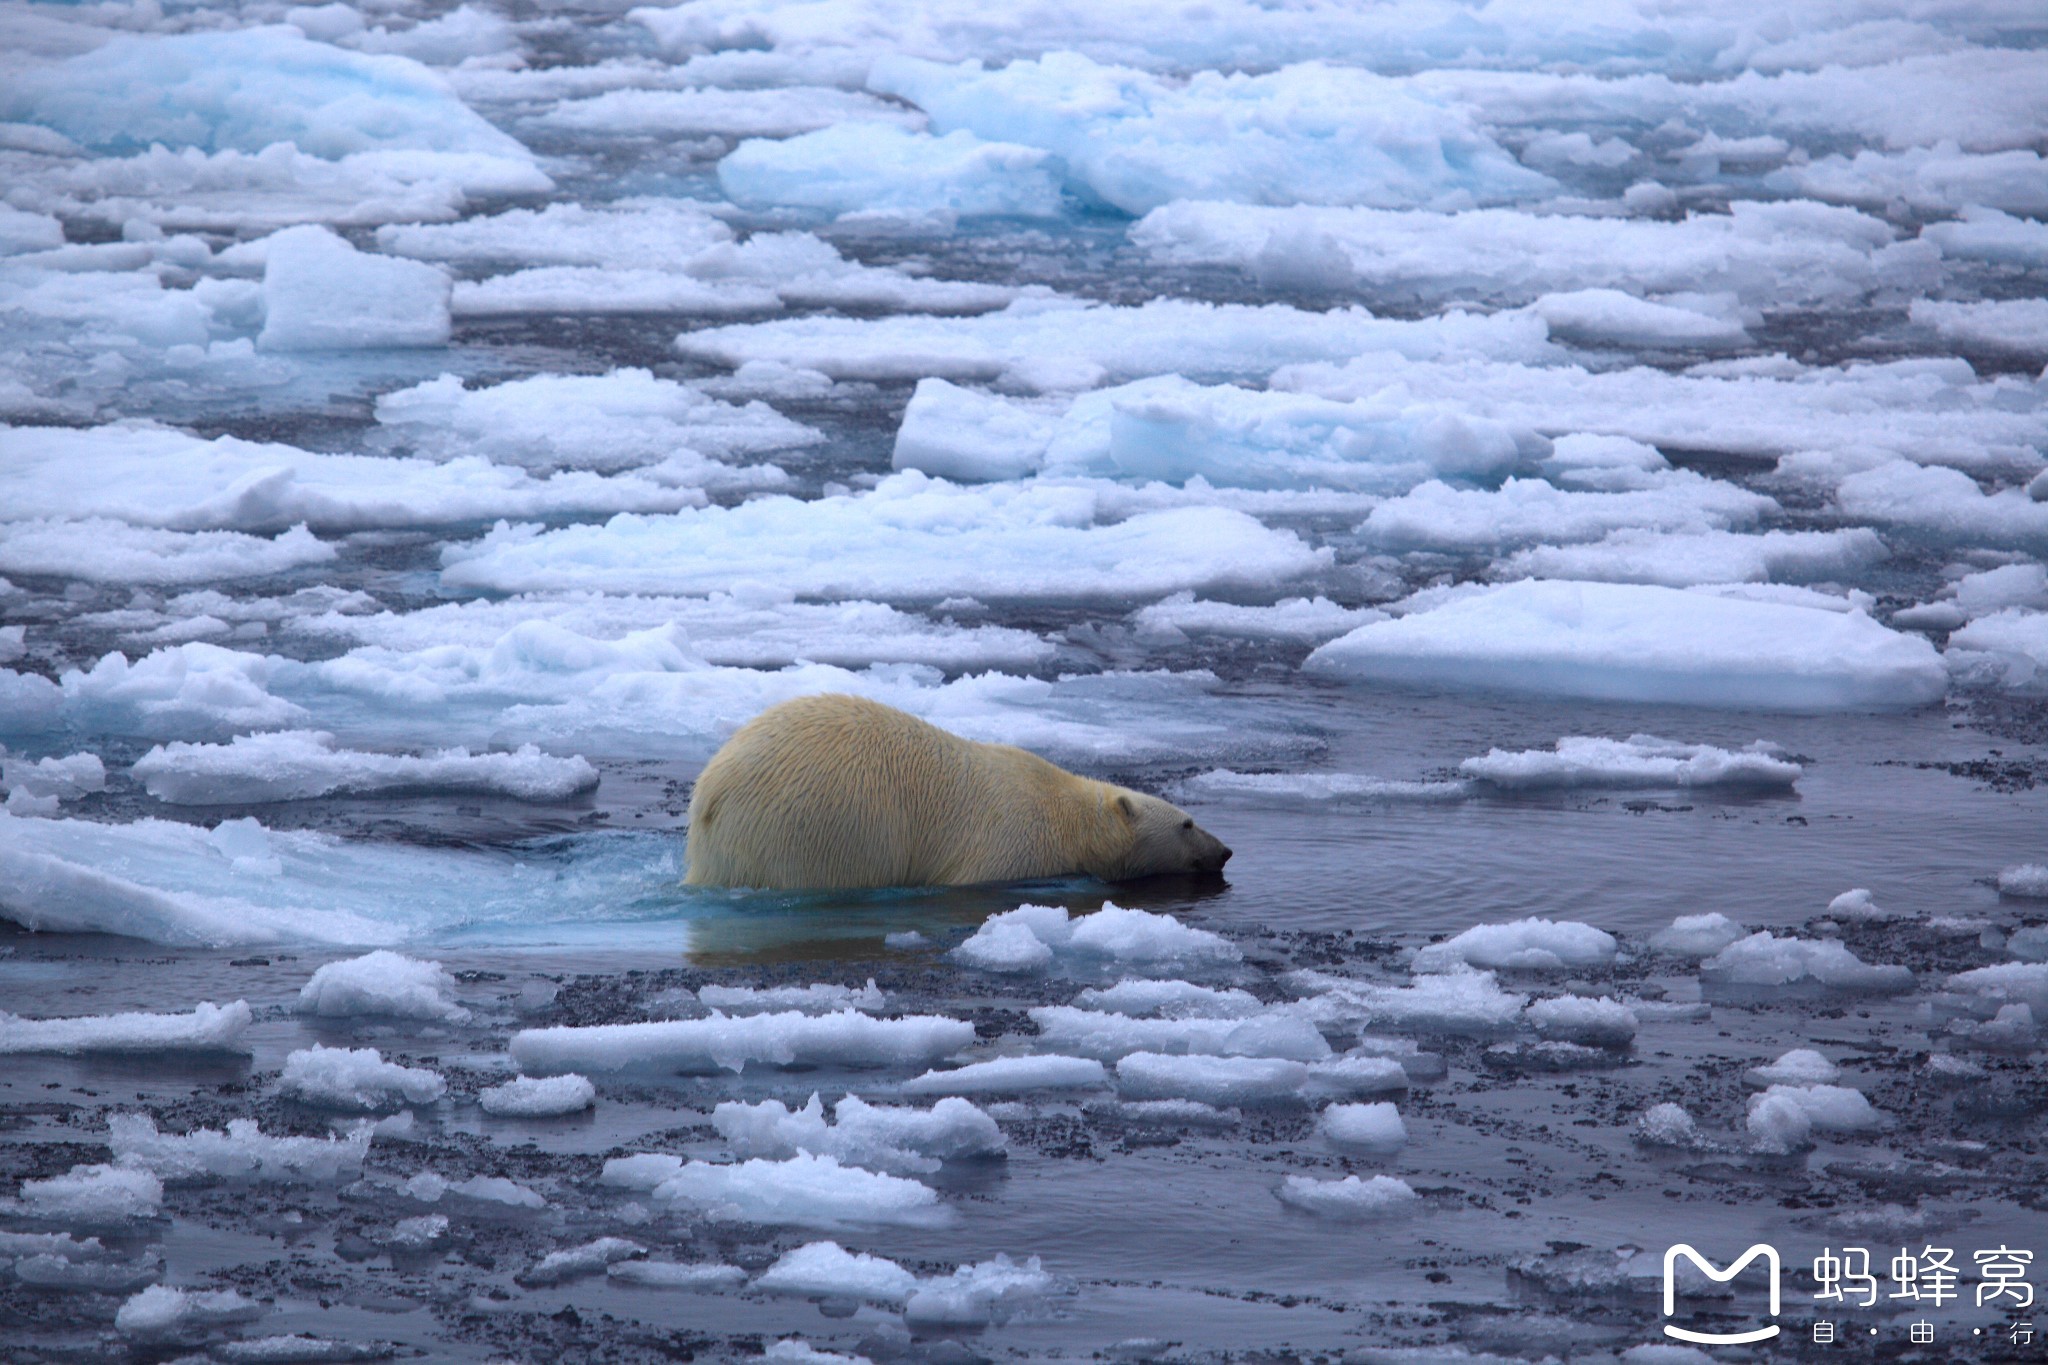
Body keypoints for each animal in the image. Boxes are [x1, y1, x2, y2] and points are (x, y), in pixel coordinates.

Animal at [684, 694, 1231, 890]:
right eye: (1186, 823)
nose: (1225, 850)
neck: (1069, 816)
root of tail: (711, 794)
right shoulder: (1011, 845)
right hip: (817, 827)